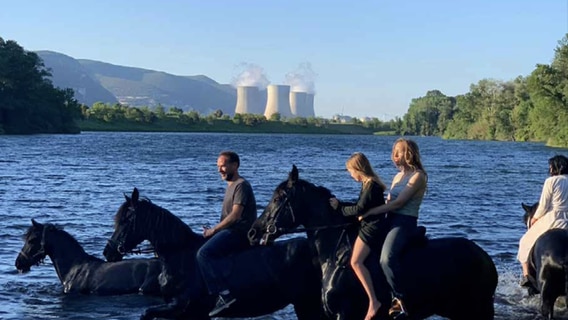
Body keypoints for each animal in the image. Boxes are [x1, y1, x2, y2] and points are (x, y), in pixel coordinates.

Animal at [248, 166, 496, 318]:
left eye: (278, 198)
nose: (253, 232)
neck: (336, 255)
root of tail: (484, 256)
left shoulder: (346, 313)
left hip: (477, 310)